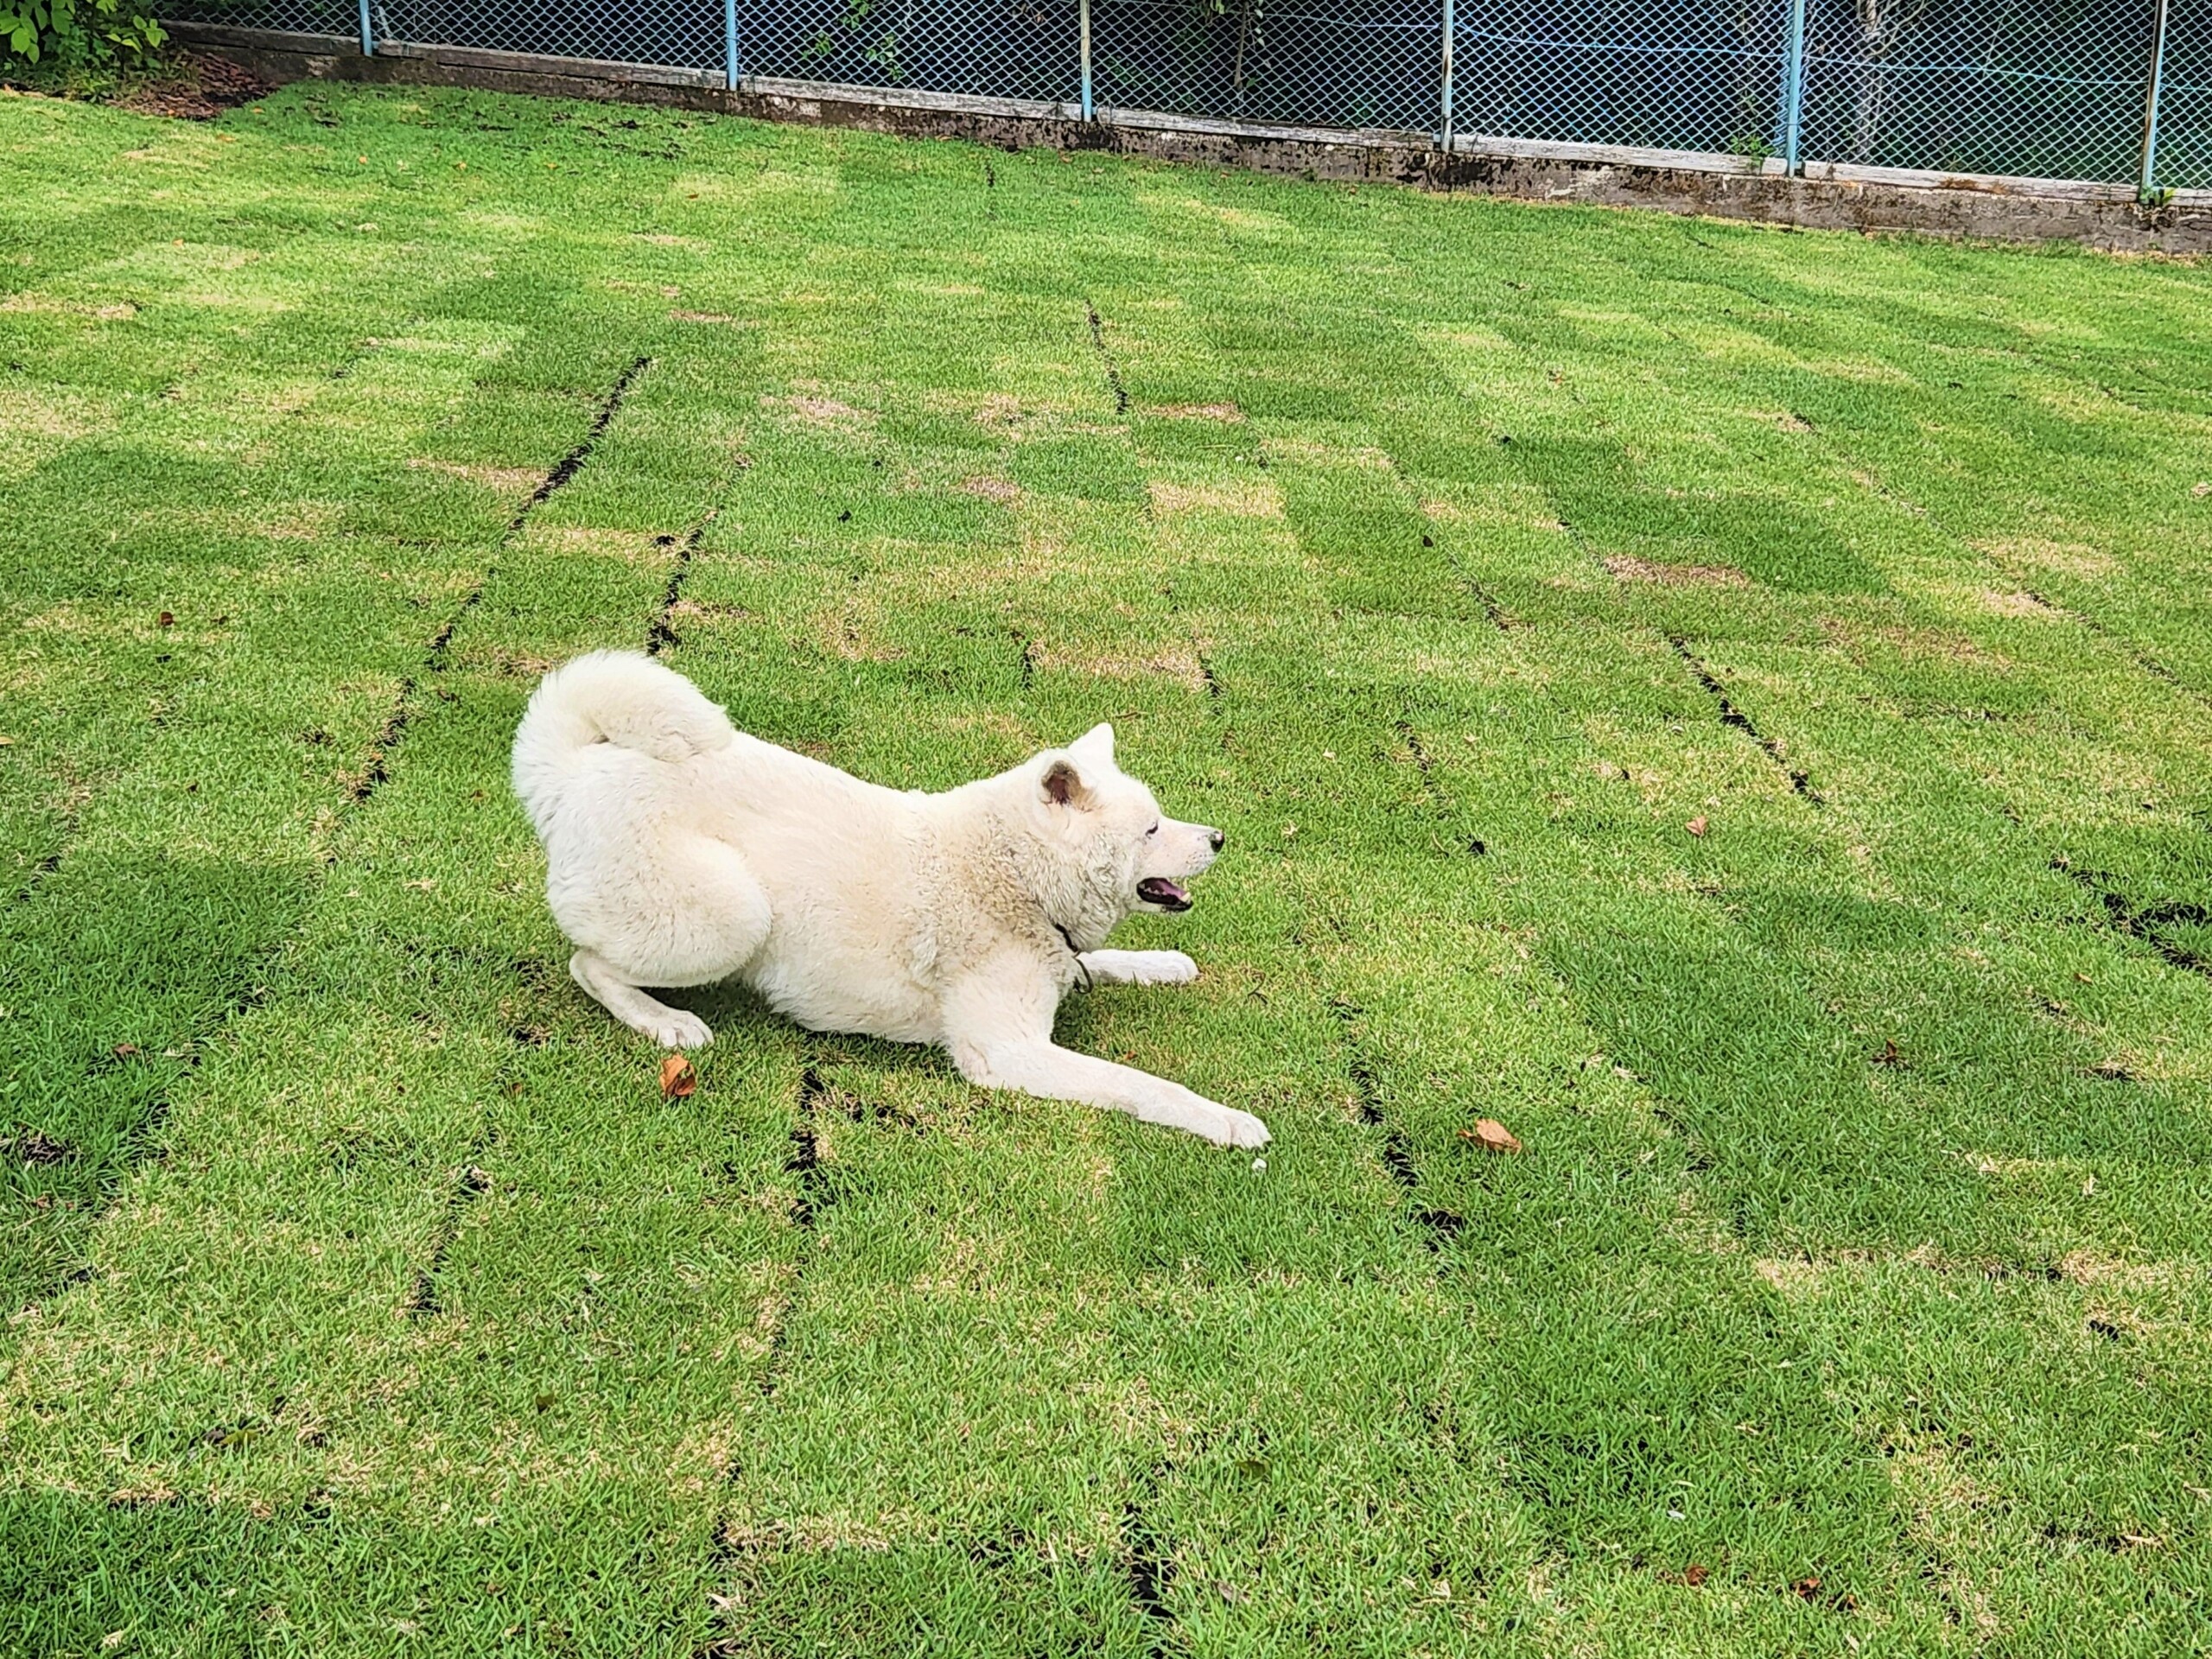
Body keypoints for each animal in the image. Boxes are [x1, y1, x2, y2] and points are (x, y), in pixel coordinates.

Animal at [502, 654, 1265, 1150]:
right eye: (1152, 829)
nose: (1220, 838)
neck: (1015, 872)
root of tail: (572, 771)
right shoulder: (1009, 1053)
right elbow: (1144, 1084)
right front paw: (1228, 1121)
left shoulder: (1060, 965)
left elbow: (1101, 961)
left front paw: (1163, 964)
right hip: (733, 917)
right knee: (587, 965)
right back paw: (665, 1023)